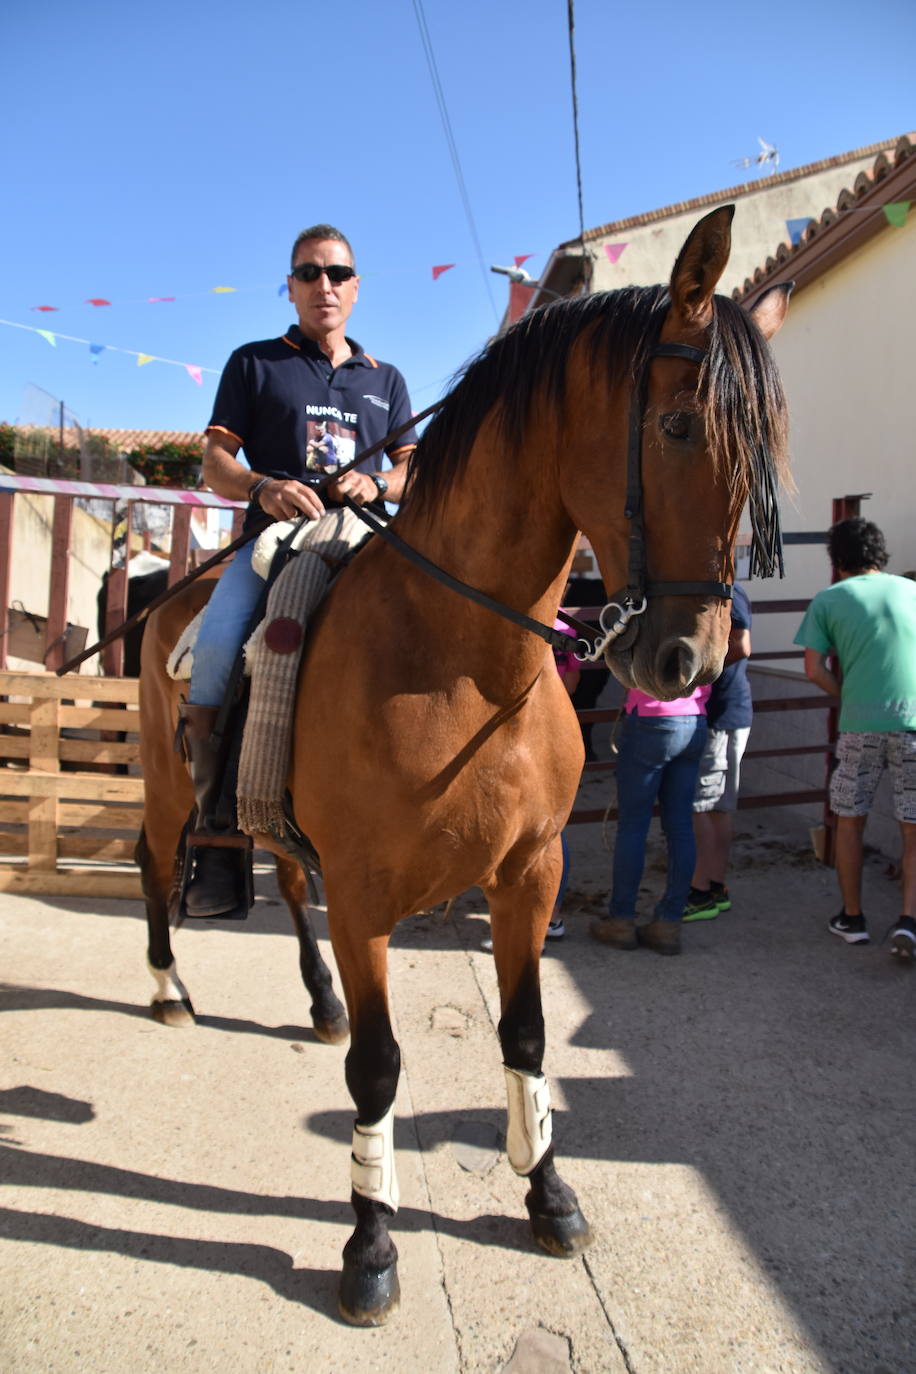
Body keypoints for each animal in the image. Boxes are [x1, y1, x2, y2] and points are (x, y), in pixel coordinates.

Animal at [134, 203, 791, 1319]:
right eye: (675, 428)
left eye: (762, 456)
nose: (688, 661)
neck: (466, 662)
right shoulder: (366, 895)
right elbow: (379, 1069)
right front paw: (369, 1242)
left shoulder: (530, 872)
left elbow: (526, 1039)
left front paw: (548, 1195)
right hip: (171, 784)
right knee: (151, 861)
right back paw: (172, 992)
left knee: (288, 879)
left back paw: (315, 1003)